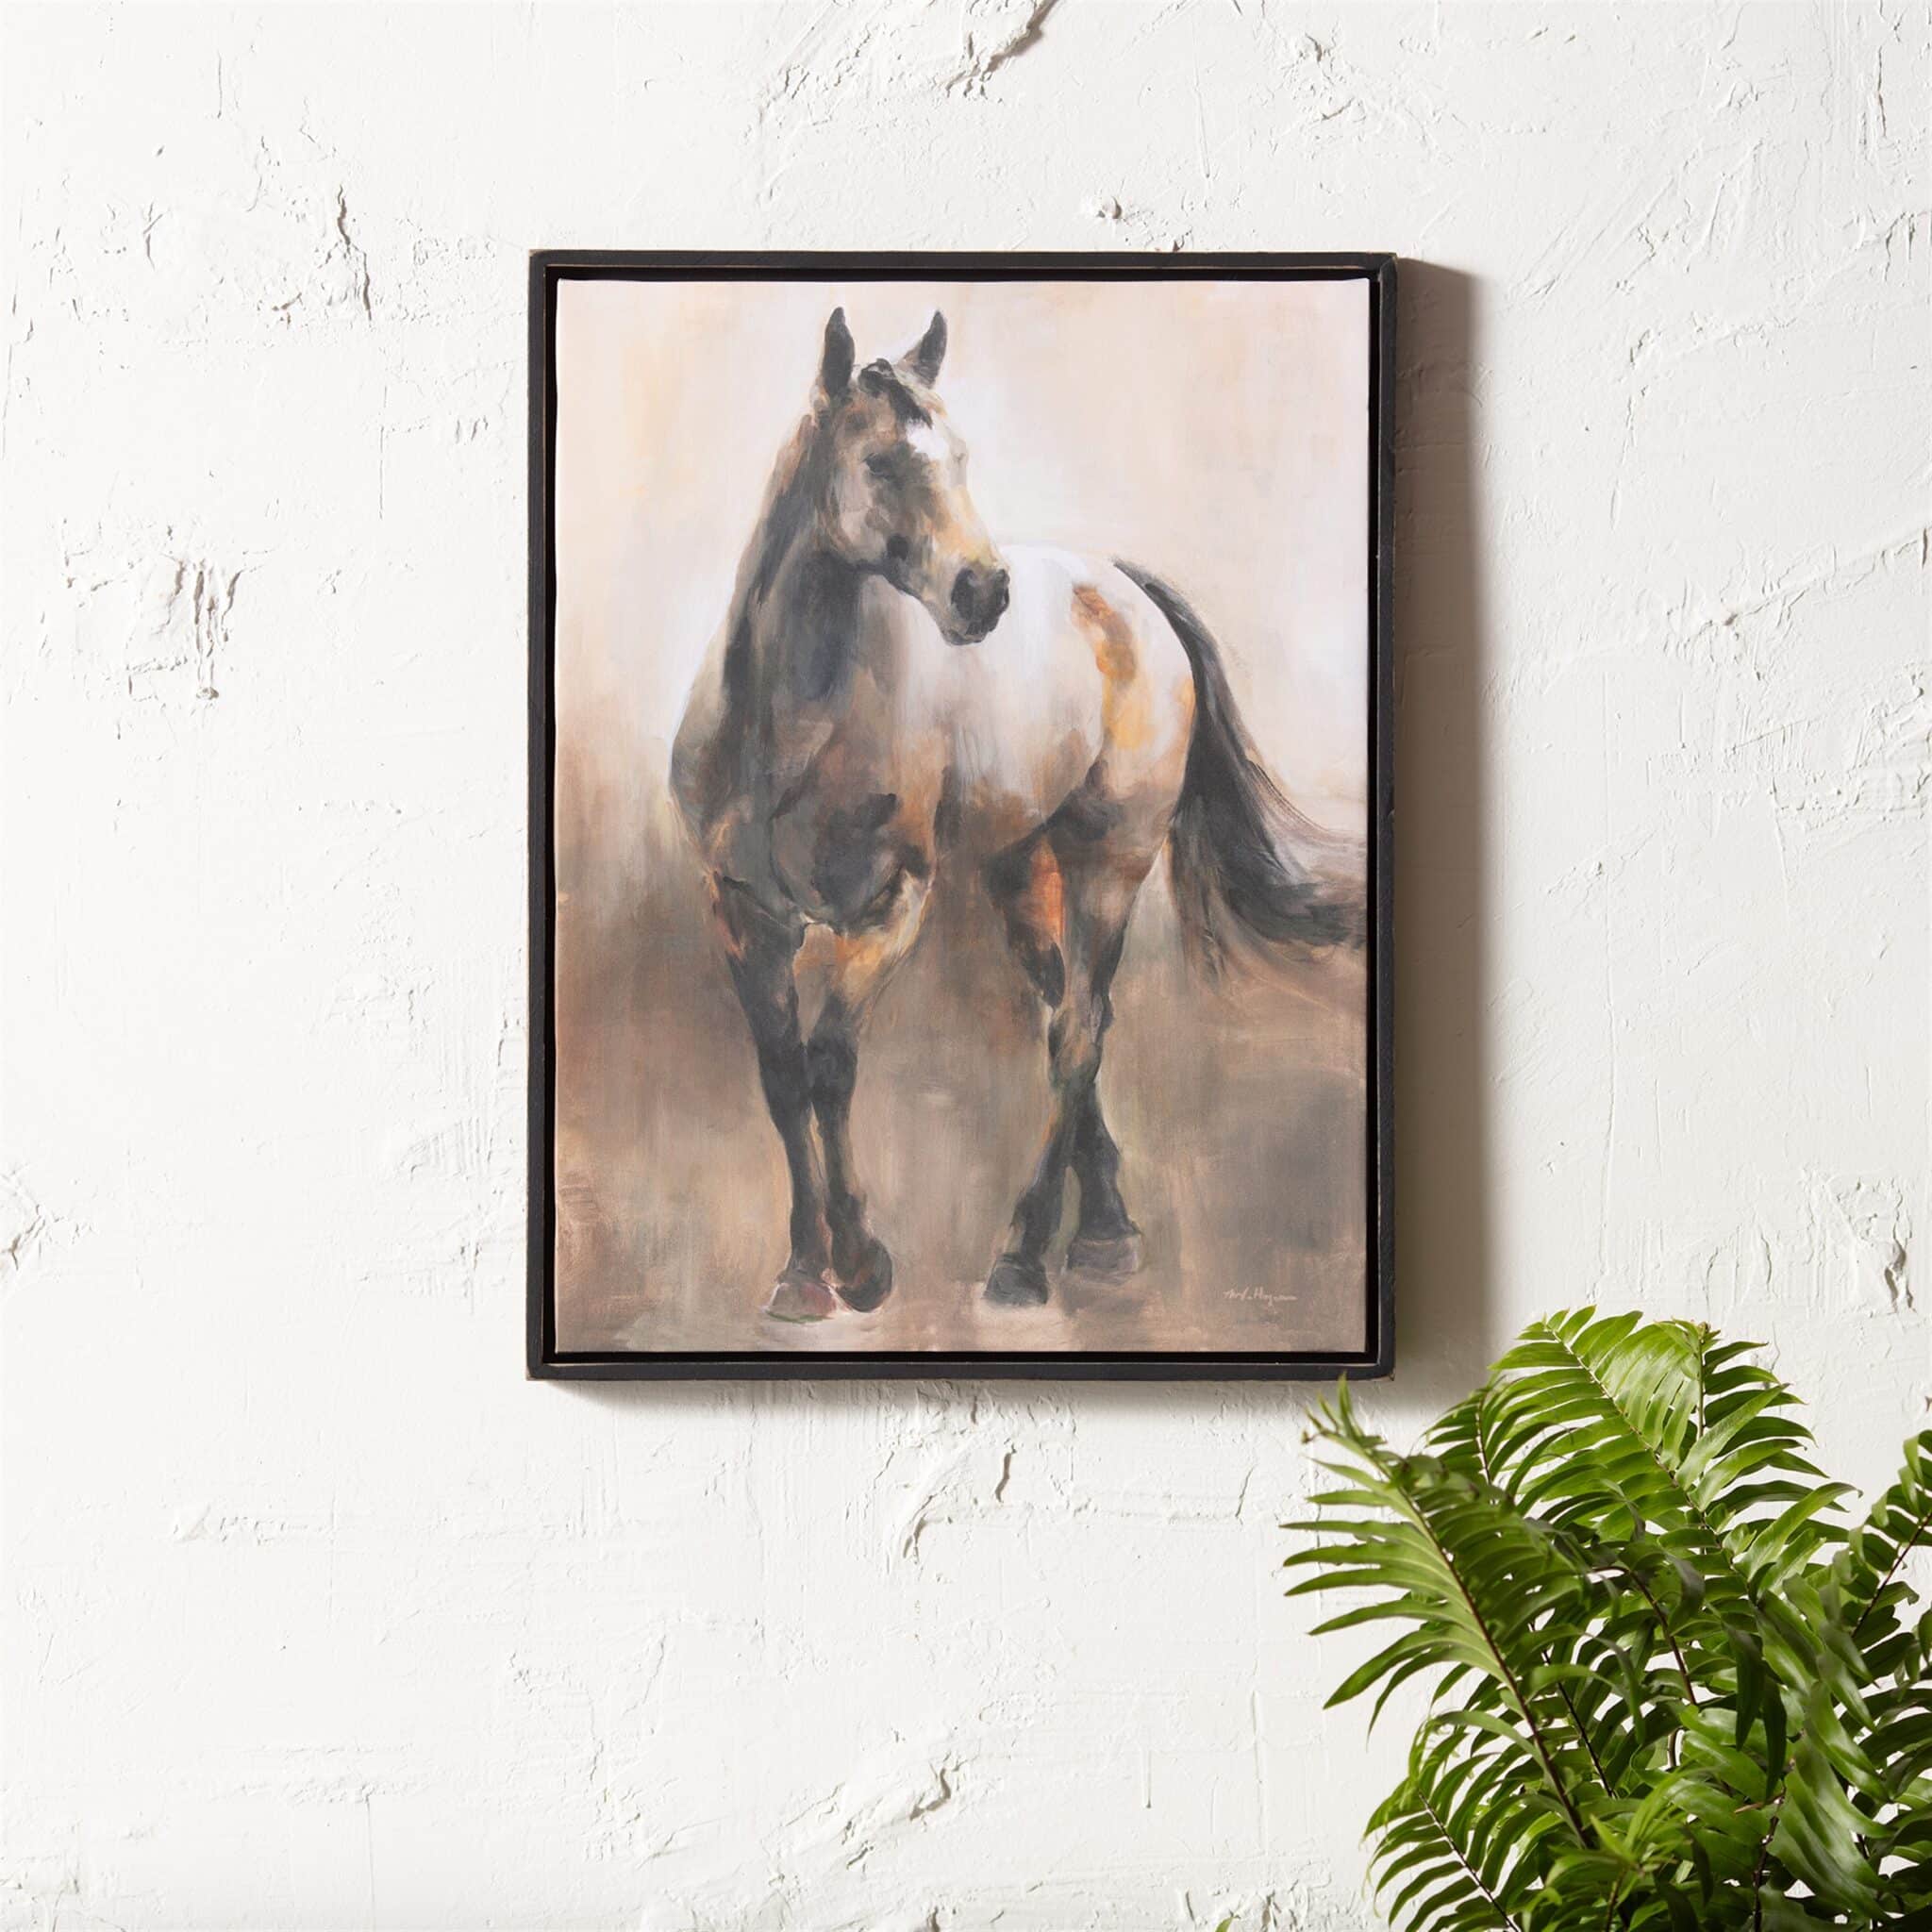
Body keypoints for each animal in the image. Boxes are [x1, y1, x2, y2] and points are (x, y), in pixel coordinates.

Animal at [670, 306, 1366, 1321]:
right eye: (881, 462)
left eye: (960, 455)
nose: (983, 593)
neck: (789, 733)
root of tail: (1125, 588)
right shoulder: (742, 911)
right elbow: (783, 1077)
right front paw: (801, 1272)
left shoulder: (891, 908)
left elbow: (832, 1064)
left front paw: (863, 1264)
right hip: (1020, 871)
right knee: (1074, 1017)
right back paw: (1107, 1231)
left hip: (1111, 863)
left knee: (1075, 1035)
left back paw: (1027, 1257)